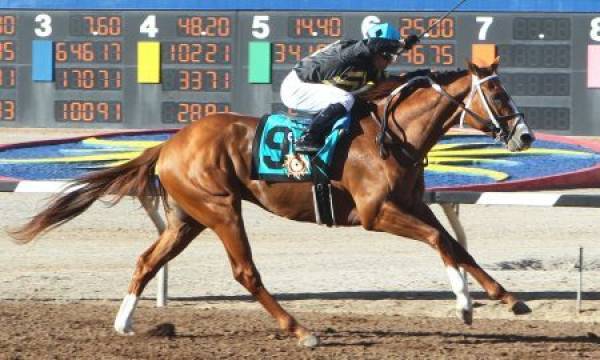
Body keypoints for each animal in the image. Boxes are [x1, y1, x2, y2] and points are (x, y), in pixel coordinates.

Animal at [11, 58, 532, 346]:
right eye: (497, 94)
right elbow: (438, 241)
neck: (393, 135)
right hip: (221, 208)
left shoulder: (412, 203)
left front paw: (505, 298)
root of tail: (171, 143)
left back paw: (124, 324)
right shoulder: (375, 213)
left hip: (187, 218)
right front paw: (467, 303)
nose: (525, 135)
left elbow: (453, 244)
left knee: (147, 259)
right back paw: (300, 330)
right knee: (245, 271)